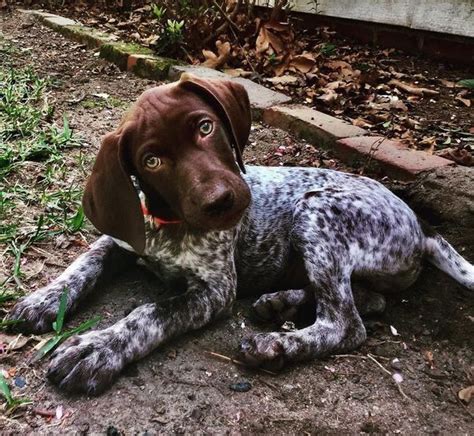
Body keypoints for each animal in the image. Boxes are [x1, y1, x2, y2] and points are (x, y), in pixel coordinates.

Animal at [8, 74, 474, 396]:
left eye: (206, 127)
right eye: (152, 160)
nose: (222, 202)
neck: (170, 226)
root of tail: (422, 224)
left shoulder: (216, 291)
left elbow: (151, 312)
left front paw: (100, 347)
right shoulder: (122, 238)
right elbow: (85, 262)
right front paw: (45, 298)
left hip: (315, 211)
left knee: (346, 323)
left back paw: (276, 345)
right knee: (368, 302)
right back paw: (280, 303)